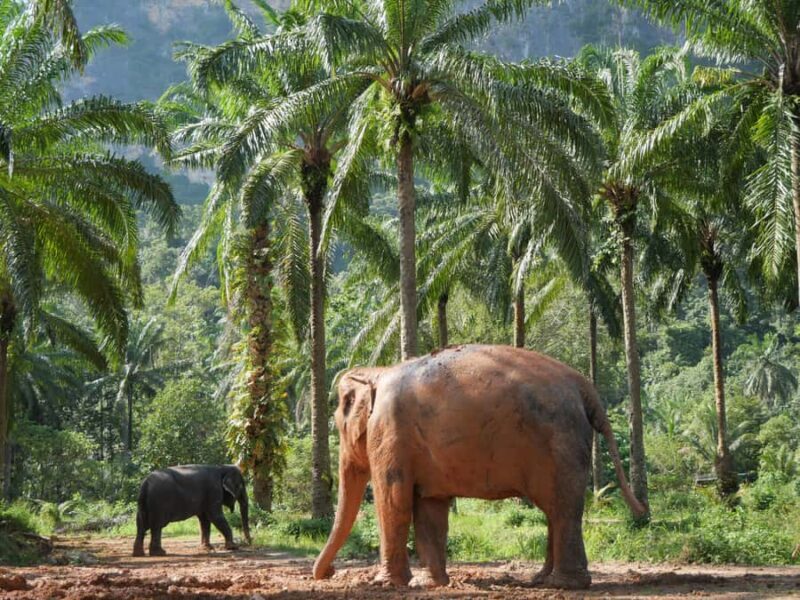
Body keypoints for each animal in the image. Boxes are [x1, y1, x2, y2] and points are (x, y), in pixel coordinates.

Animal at [313, 344, 646, 590]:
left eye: (339, 421)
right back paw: (541, 580)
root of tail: (584, 387)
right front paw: (429, 584)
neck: (378, 371)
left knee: (562, 508)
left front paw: (385, 584)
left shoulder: (389, 433)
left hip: (560, 441)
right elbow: (430, 508)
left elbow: (393, 501)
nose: (328, 573)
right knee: (557, 510)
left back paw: (563, 585)